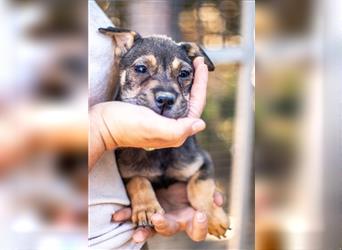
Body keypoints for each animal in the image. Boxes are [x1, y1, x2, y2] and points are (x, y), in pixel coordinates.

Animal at [99, 26, 230, 237]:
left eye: (184, 73)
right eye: (141, 69)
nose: (166, 100)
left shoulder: (202, 161)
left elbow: (199, 187)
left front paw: (214, 217)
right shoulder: (125, 171)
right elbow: (138, 180)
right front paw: (146, 209)